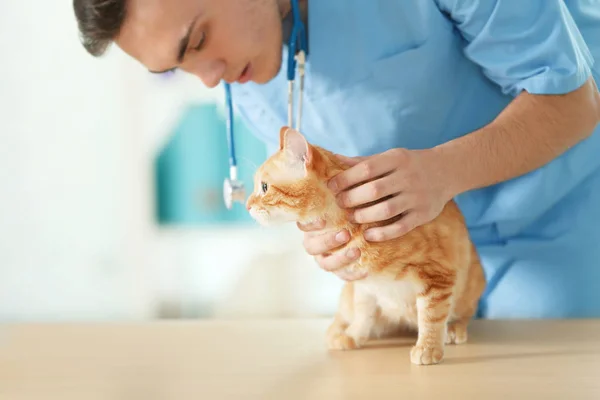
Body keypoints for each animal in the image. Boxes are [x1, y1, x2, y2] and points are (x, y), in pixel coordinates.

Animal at [246, 126, 486, 364]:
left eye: (264, 187)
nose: (247, 205)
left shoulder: (437, 275)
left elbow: (431, 316)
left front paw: (428, 347)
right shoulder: (364, 285)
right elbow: (363, 314)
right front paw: (353, 335)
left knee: (462, 313)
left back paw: (454, 329)